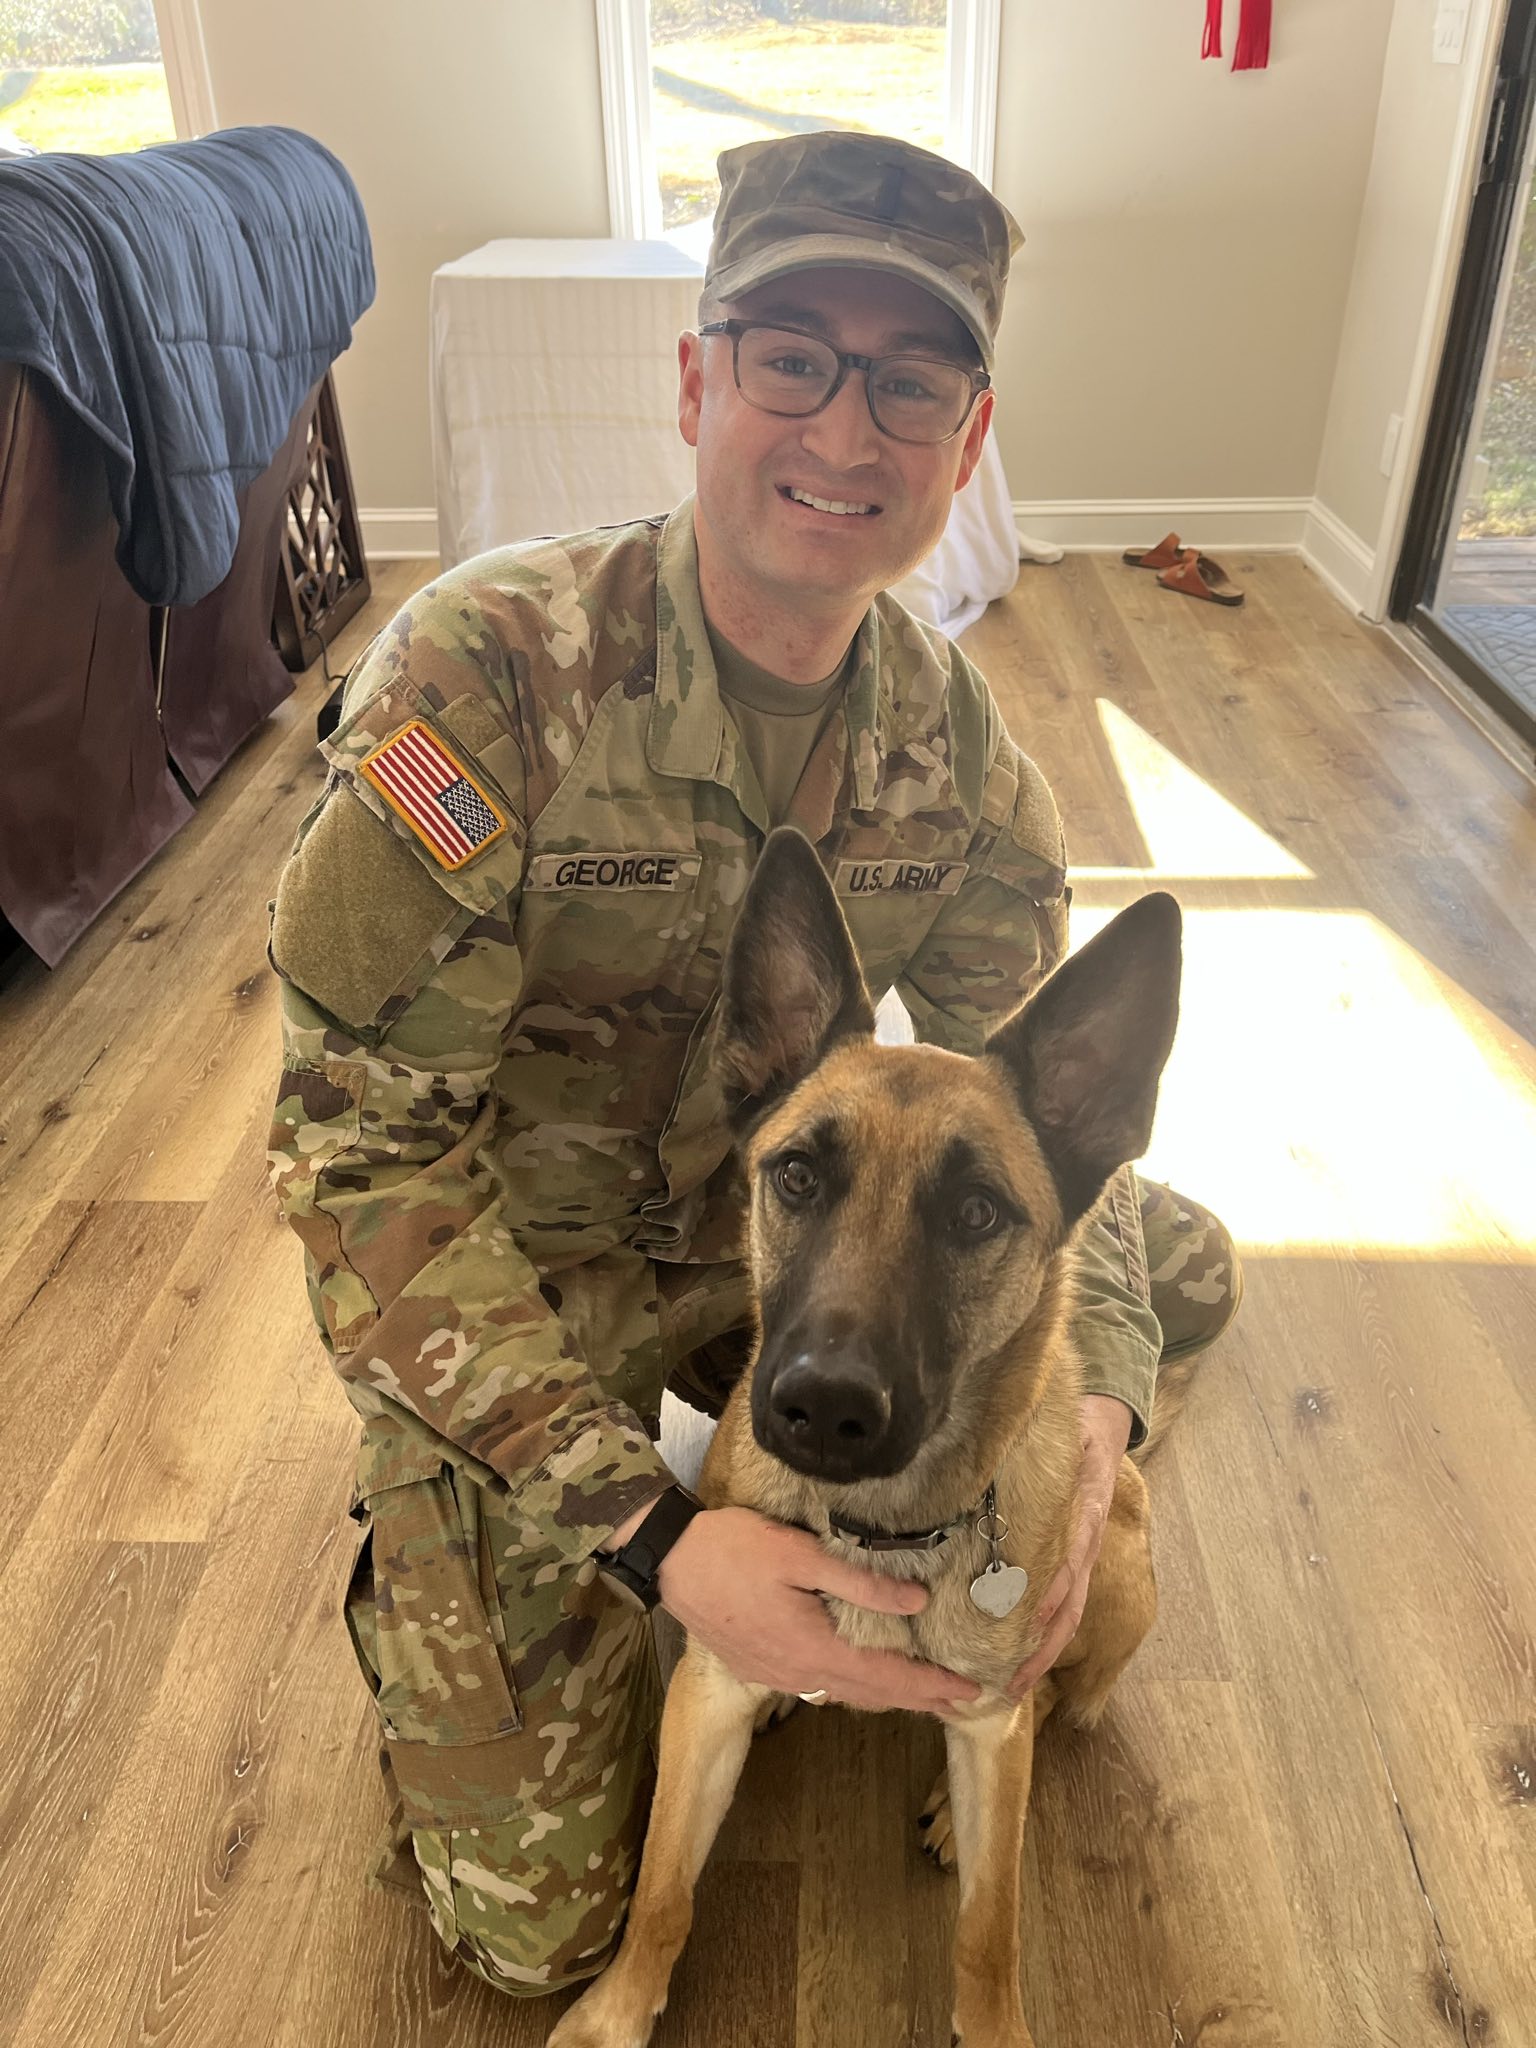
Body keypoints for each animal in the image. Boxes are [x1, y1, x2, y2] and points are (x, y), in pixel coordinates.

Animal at [548, 823, 1187, 2039]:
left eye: (978, 1213)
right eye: (797, 1174)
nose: (824, 1408)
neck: (880, 1530)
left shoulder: (992, 1730)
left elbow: (990, 1933)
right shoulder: (705, 1703)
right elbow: (662, 1890)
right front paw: (616, 2011)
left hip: (1121, 1578)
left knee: (1062, 1702)